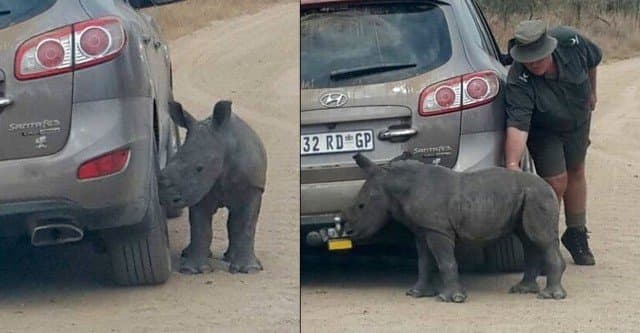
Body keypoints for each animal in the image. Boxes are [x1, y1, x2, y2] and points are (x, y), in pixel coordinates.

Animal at [162, 100, 268, 274]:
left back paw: (230, 258)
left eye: (200, 168)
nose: (167, 197)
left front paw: (249, 270)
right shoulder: (199, 189)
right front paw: (192, 270)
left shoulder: (253, 187)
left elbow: (246, 224)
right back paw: (190, 254)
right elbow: (200, 227)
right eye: (170, 161)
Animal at [342, 153, 568, 300]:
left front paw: (450, 298)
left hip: (537, 196)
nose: (349, 231)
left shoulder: (438, 230)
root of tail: (548, 186)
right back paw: (523, 290)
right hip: (527, 197)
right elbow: (424, 261)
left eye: (361, 206)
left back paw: (549, 296)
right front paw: (416, 294)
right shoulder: (424, 229)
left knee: (540, 239)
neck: (395, 184)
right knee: (528, 239)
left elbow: (445, 260)